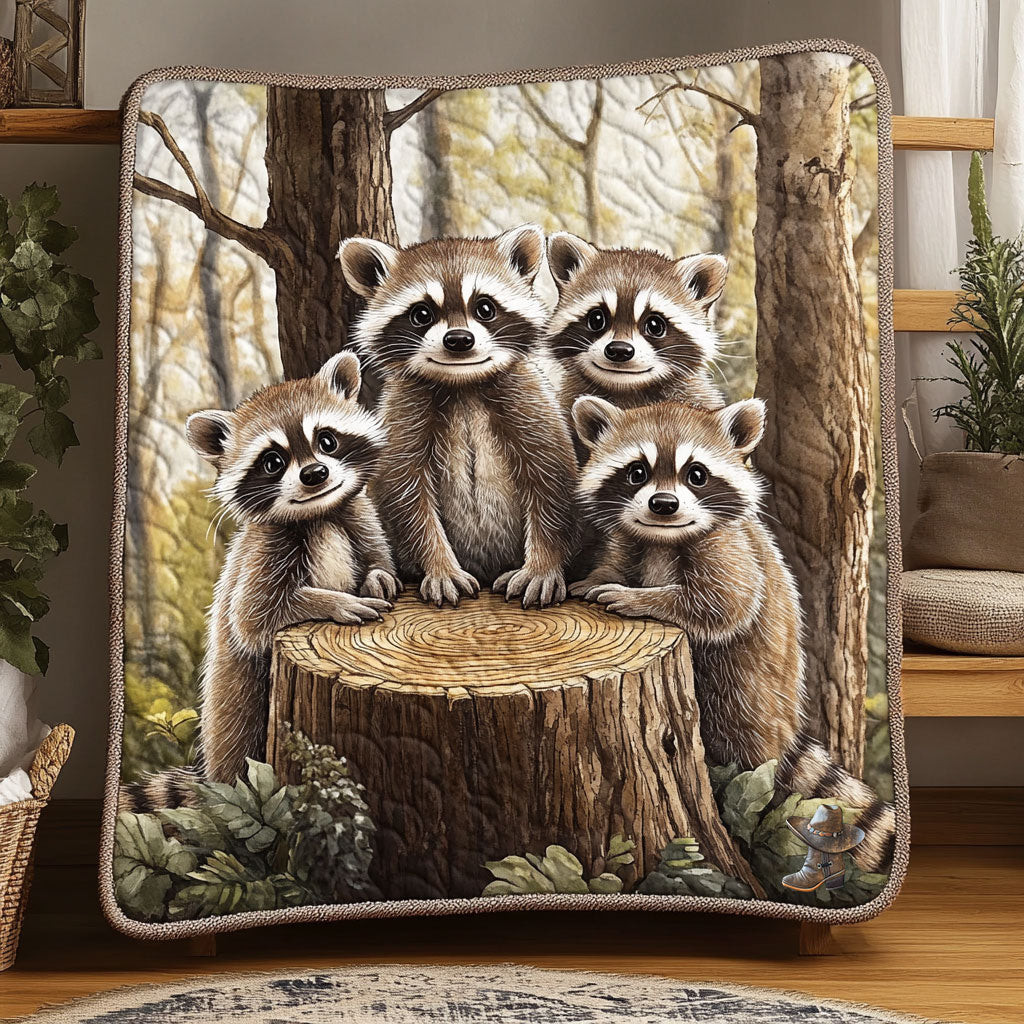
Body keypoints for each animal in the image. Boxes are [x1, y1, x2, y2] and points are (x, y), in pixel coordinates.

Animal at [181, 352, 398, 786]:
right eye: (273, 461)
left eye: (326, 440)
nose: (315, 474)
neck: (319, 515)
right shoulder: (262, 550)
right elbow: (252, 619)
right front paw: (332, 601)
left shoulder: (359, 518)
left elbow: (378, 558)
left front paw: (376, 577)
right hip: (240, 714)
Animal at [338, 224, 577, 608]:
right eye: (421, 314)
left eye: (484, 308)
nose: (459, 340)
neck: (463, 383)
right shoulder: (403, 412)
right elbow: (406, 495)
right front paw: (439, 565)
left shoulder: (530, 400)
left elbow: (551, 482)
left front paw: (542, 564)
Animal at [571, 396, 895, 871]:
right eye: (636, 472)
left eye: (696, 474)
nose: (663, 504)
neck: (662, 539)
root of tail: (787, 725)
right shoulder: (631, 543)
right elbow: (615, 561)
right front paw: (595, 579)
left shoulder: (730, 548)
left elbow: (724, 606)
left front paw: (640, 598)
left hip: (746, 699)